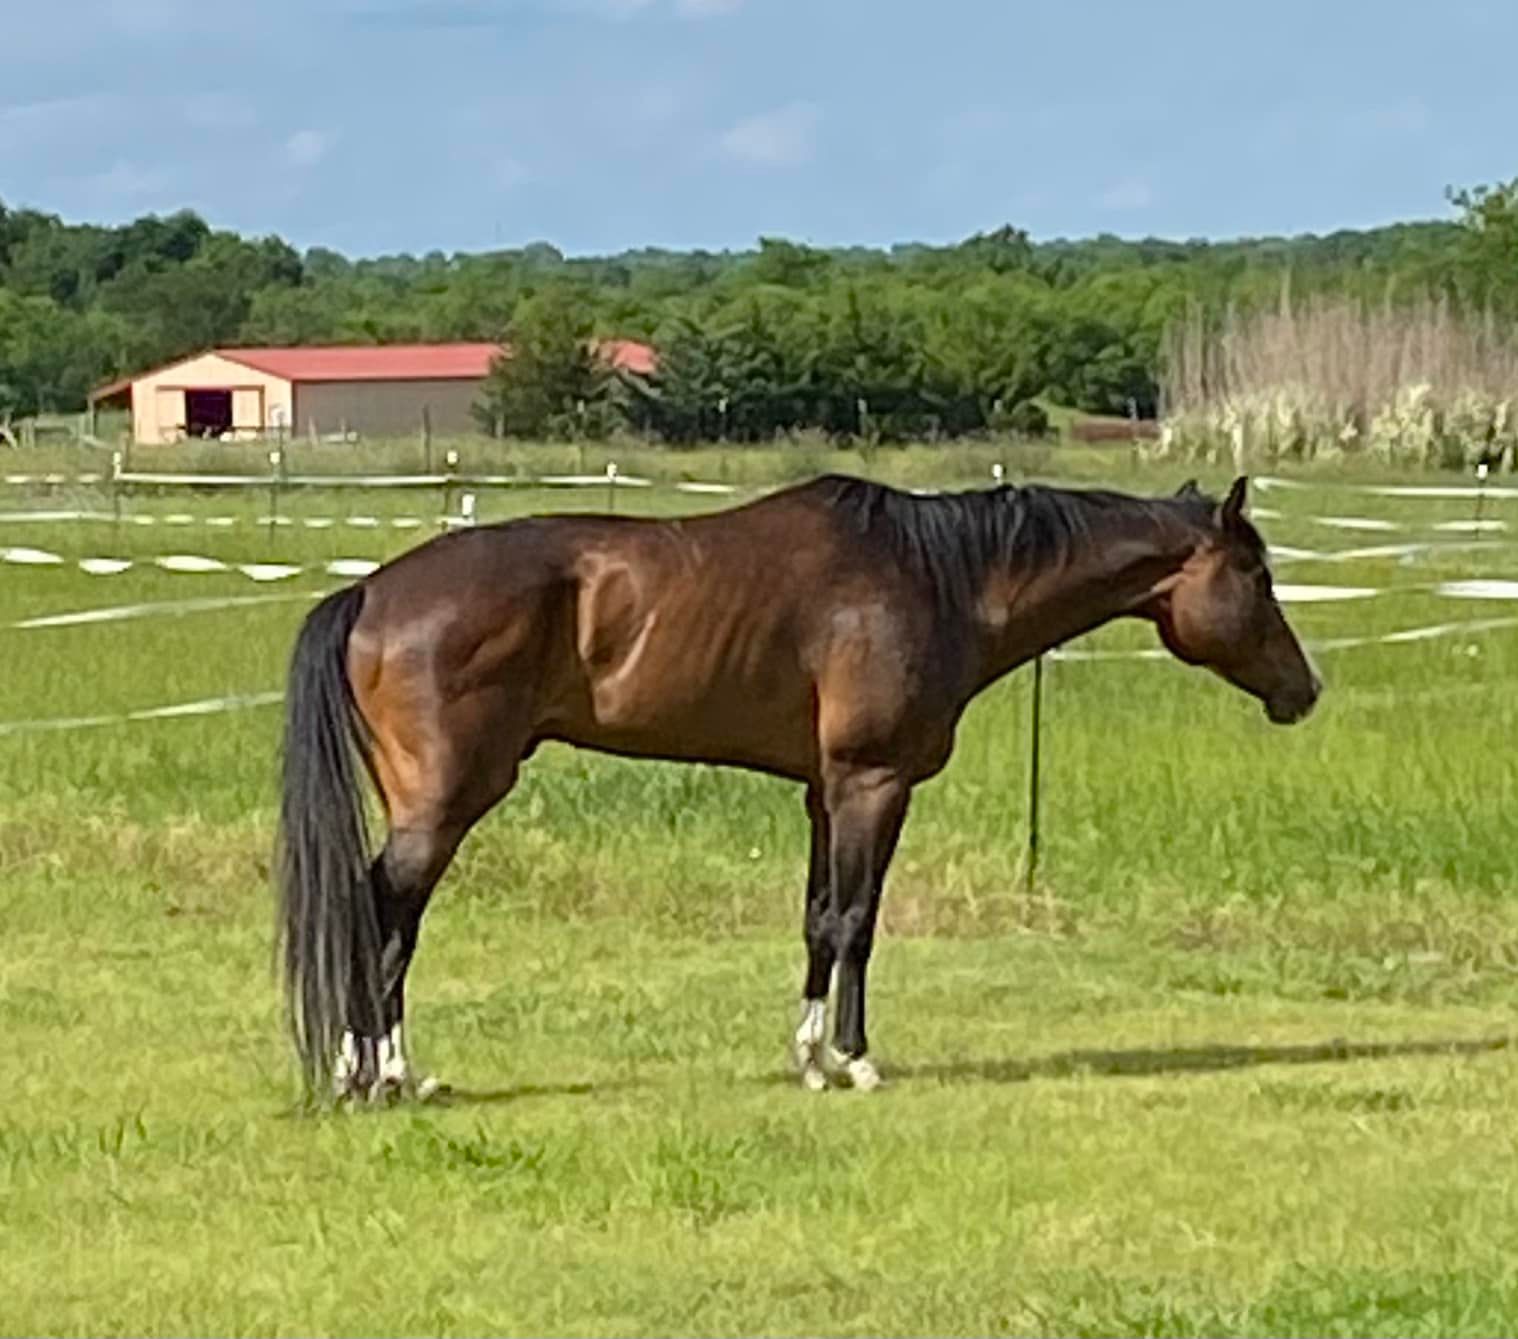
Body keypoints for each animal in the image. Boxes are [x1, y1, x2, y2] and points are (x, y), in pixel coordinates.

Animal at [276, 472, 1320, 1101]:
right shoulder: (873, 784)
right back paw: (376, 1073)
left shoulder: (825, 794)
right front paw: (854, 1059)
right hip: (444, 804)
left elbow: (819, 919)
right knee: (380, 910)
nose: (1304, 691)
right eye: (1257, 575)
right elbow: (857, 920)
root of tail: (369, 592)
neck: (938, 580)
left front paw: (809, 1057)